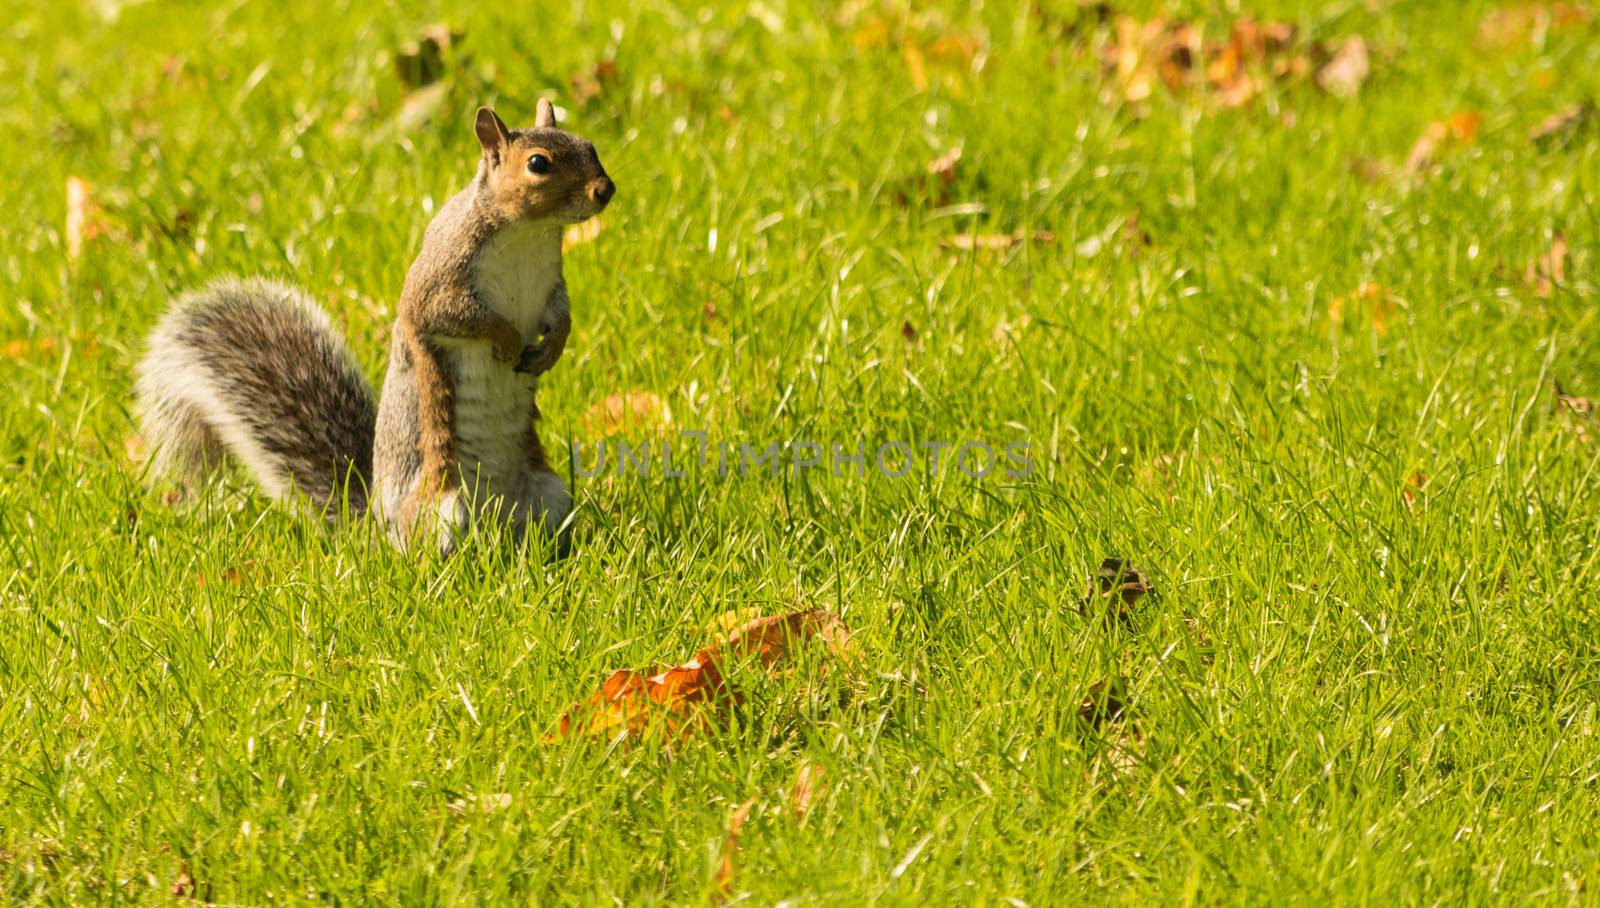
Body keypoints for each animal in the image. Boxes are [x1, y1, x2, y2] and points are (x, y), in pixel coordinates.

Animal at [137, 99, 614, 553]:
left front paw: (552, 347)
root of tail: (378, 530)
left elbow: (560, 313)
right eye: (538, 163)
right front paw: (508, 339)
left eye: (589, 144)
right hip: (442, 509)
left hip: (551, 495)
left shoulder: (550, 284)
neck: (529, 234)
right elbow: (455, 315)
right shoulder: (439, 282)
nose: (605, 190)